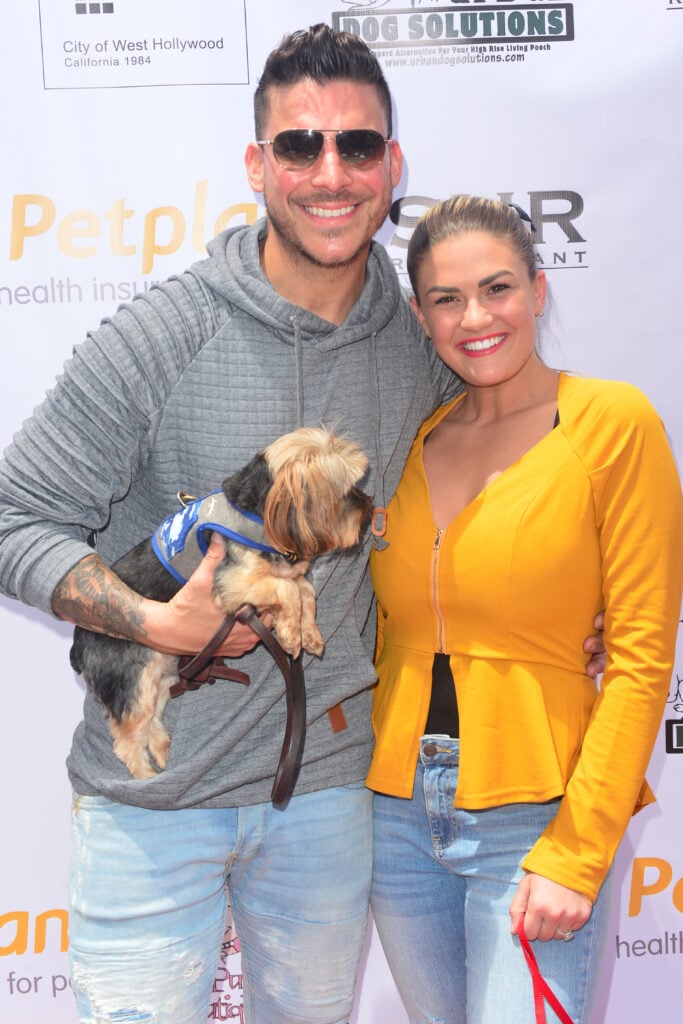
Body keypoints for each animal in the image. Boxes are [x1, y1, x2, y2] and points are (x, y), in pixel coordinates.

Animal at [71, 428, 370, 778]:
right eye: (344, 490)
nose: (369, 507)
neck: (256, 513)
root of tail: (79, 645)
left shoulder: (283, 573)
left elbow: (306, 593)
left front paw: (309, 634)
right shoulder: (232, 584)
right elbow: (288, 591)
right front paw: (290, 635)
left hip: (162, 673)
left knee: (152, 723)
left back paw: (163, 756)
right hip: (134, 685)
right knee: (128, 742)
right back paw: (147, 775)